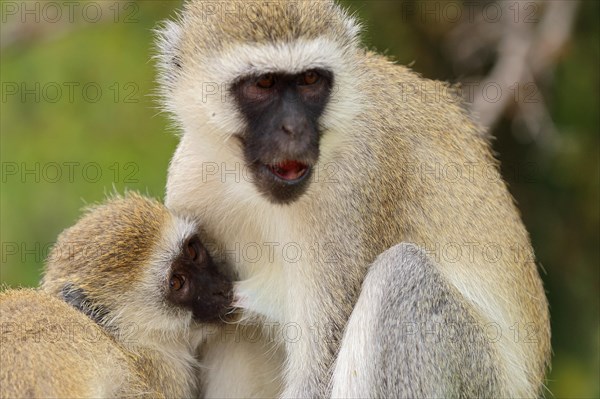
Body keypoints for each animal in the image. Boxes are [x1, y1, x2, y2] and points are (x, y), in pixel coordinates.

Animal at [157, 1, 552, 398]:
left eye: (310, 80)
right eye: (263, 84)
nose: (295, 129)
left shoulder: (353, 184)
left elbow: (318, 371)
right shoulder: (189, 178)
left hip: (476, 374)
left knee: (403, 273)